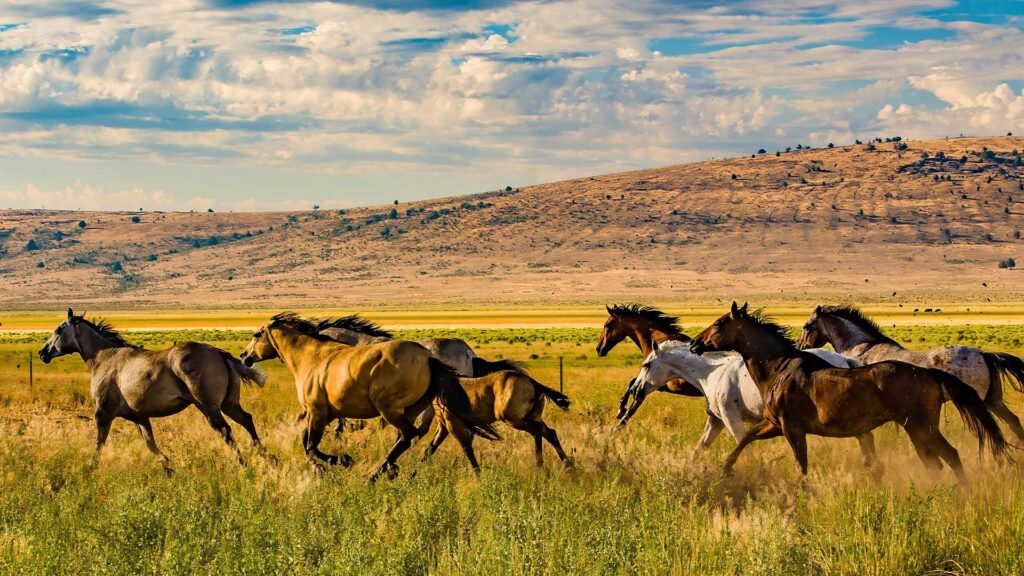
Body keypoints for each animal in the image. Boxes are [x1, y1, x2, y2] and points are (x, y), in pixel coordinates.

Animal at [37, 309, 268, 475]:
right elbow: (150, 443)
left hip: (208, 407)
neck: (105, 358)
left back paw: (243, 465)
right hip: (229, 404)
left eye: (58, 330)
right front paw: (169, 468)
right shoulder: (139, 417)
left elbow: (99, 444)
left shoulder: (103, 414)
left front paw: (90, 470)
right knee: (246, 420)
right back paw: (268, 459)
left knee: (225, 431)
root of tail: (219, 352)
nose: (42, 353)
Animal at [239, 313, 500, 479]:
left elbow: (311, 444)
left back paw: (385, 473)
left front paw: (336, 463)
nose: (244, 356)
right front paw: (339, 460)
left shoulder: (318, 410)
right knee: (427, 435)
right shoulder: (327, 411)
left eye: (256, 334)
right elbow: (308, 440)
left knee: (423, 434)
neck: (314, 355)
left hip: (405, 407)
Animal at [421, 368, 573, 468]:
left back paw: (541, 467)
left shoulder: (453, 425)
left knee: (537, 432)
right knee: (549, 433)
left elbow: (468, 451)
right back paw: (569, 468)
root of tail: (532, 382)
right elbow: (429, 449)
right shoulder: (443, 427)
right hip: (532, 418)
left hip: (512, 419)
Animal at [620, 340, 861, 451]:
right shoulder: (716, 421)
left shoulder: (731, 418)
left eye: (646, 364)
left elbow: (742, 443)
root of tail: (845, 361)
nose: (635, 390)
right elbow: (699, 449)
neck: (711, 374)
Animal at [798, 305, 1024, 441]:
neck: (862, 348)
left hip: (980, 401)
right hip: (992, 400)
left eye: (806, 326)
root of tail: (983, 354)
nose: (801, 347)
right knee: (1014, 422)